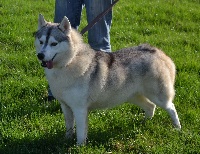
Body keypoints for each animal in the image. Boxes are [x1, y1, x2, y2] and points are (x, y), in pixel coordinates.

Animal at [34, 14, 181, 144]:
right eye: (41, 42)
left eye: (54, 44)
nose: (40, 55)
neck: (69, 62)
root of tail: (158, 52)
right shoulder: (65, 106)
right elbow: (69, 126)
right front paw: (66, 140)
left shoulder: (80, 109)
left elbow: (81, 132)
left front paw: (79, 146)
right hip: (132, 96)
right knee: (150, 106)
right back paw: (144, 123)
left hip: (159, 96)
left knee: (171, 107)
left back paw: (177, 128)